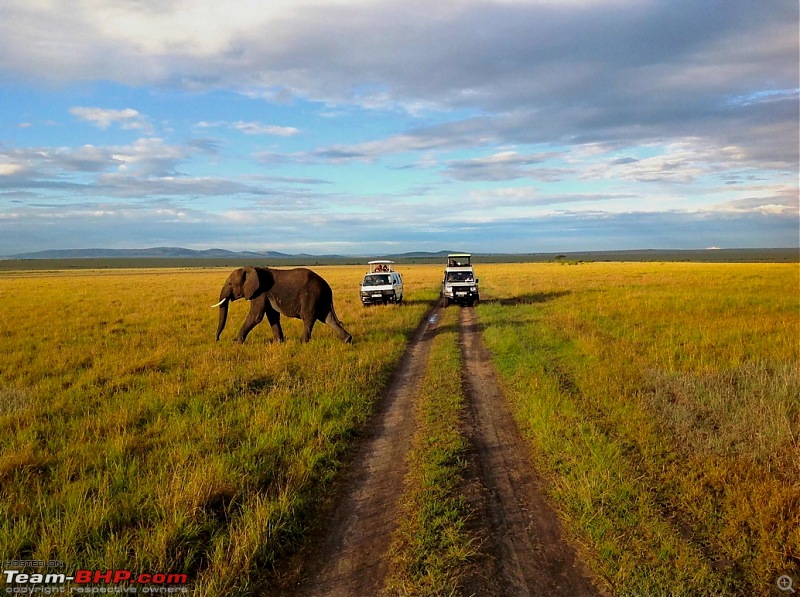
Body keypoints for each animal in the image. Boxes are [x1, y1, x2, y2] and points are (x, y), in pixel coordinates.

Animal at [211, 266, 352, 344]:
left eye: (230, 284)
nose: (217, 339)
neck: (251, 269)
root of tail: (328, 288)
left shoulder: (260, 291)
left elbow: (256, 316)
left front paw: (236, 342)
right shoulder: (266, 293)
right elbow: (272, 316)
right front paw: (279, 342)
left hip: (312, 295)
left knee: (309, 318)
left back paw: (302, 343)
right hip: (321, 298)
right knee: (328, 318)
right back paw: (347, 340)